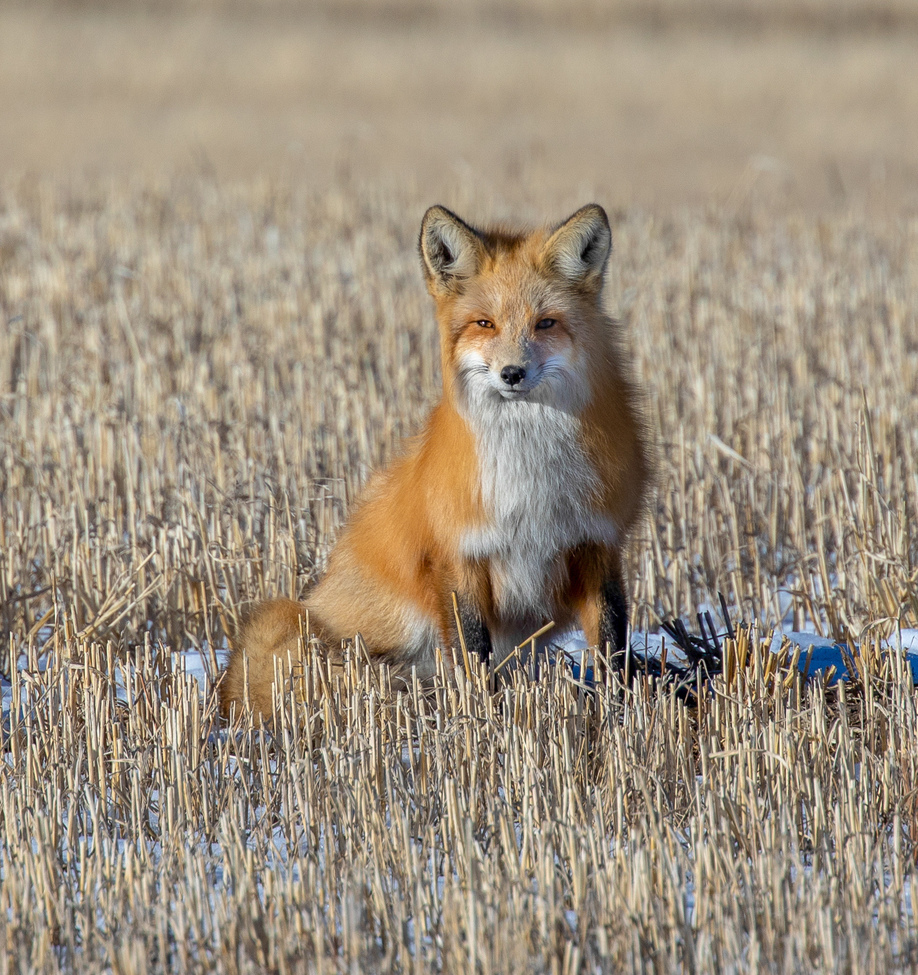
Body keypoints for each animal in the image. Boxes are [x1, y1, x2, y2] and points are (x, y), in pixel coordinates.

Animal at [219, 203, 649, 720]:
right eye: (485, 324)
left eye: (545, 323)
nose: (512, 373)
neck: (532, 477)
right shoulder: (459, 556)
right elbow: (474, 654)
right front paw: (484, 719)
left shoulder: (596, 544)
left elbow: (612, 646)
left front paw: (621, 716)